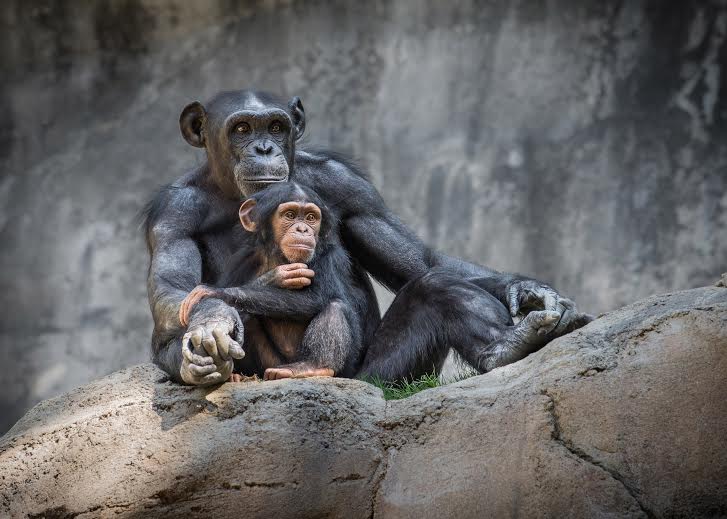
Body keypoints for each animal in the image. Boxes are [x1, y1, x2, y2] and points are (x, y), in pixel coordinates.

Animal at [177, 183, 370, 382]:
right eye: (290, 215)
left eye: (311, 218)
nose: (303, 229)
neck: (280, 256)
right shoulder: (241, 260)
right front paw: (276, 276)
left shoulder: (330, 256)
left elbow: (315, 297)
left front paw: (212, 292)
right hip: (269, 363)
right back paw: (233, 374)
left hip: (345, 368)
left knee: (335, 307)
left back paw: (314, 367)